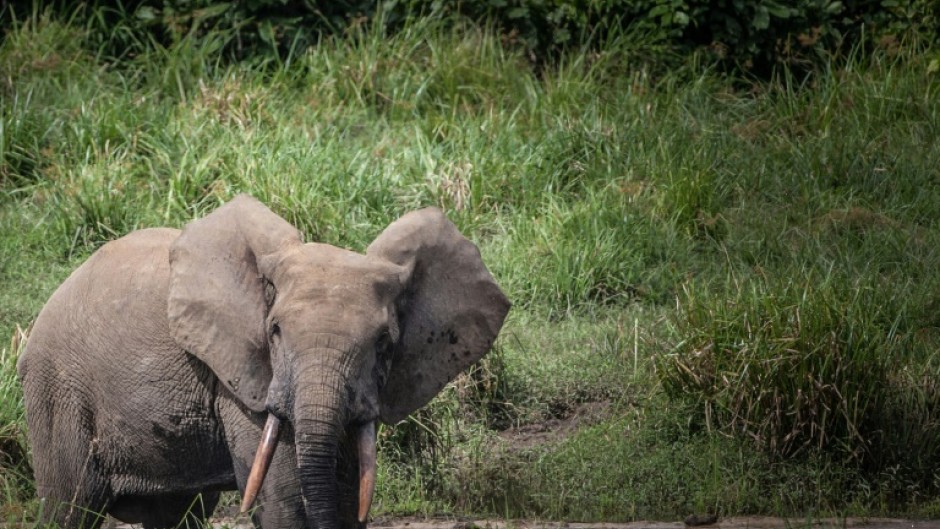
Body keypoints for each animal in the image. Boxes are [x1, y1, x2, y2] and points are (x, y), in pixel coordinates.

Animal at [14, 196, 510, 528]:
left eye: (385, 343)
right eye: (275, 332)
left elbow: (347, 491)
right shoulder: (240, 380)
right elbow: (283, 498)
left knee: (177, 514)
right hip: (57, 389)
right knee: (69, 508)